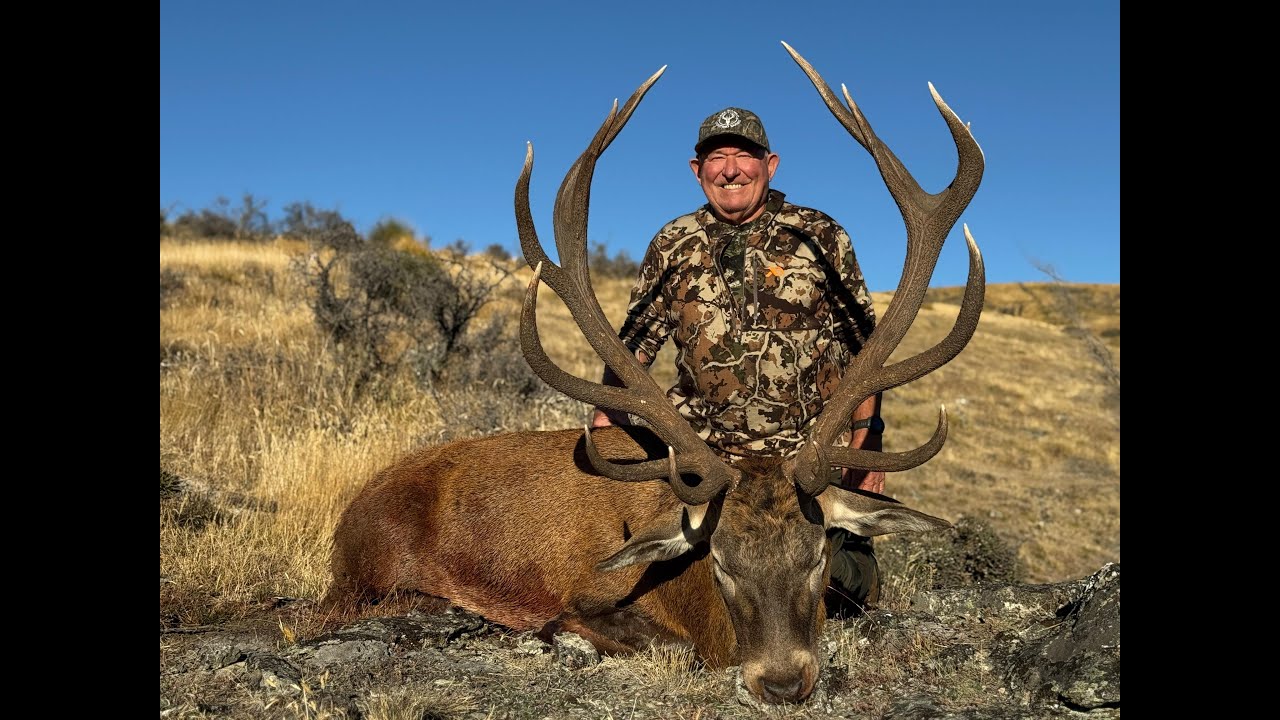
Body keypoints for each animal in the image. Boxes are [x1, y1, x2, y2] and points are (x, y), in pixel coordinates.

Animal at [324, 41, 985, 706]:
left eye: (817, 554)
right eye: (720, 562)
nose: (781, 681)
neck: (688, 595)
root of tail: (348, 518)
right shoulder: (591, 595)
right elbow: (654, 641)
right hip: (371, 581)